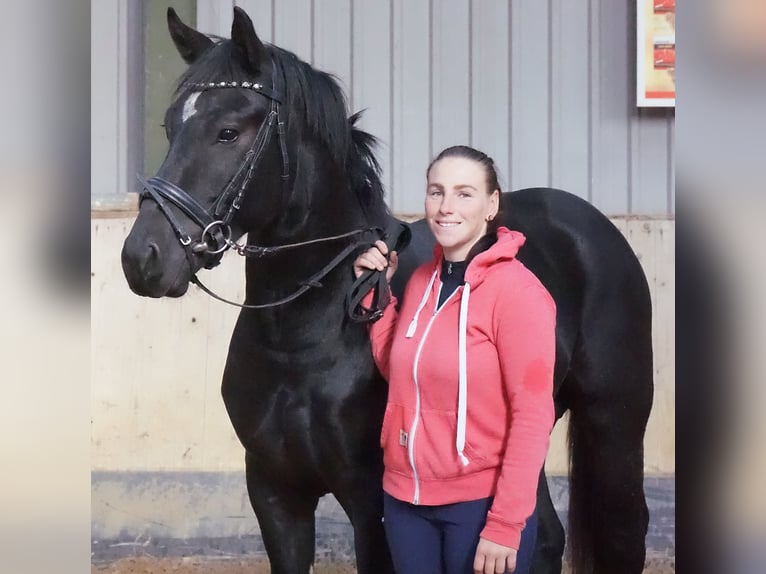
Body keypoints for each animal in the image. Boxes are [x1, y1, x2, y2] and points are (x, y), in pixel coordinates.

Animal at [120, 7, 656, 574]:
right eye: (170, 127)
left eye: (227, 132)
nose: (143, 257)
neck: (304, 336)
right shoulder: (275, 493)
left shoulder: (371, 504)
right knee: (543, 535)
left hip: (614, 423)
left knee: (624, 529)